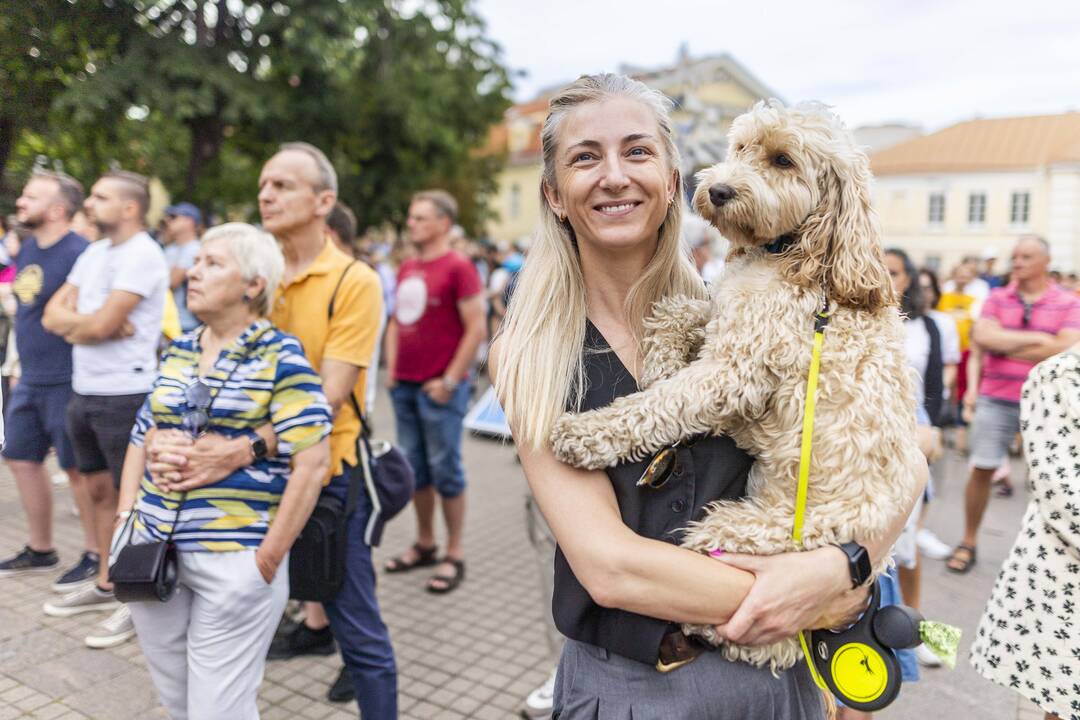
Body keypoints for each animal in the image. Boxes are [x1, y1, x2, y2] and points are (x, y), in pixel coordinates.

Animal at [552, 99, 924, 669]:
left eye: (784, 160)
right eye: (742, 147)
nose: (719, 190)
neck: (792, 252)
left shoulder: (735, 371)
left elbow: (657, 405)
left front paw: (586, 434)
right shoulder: (723, 314)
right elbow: (683, 308)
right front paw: (661, 354)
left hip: (738, 536)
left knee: (762, 635)